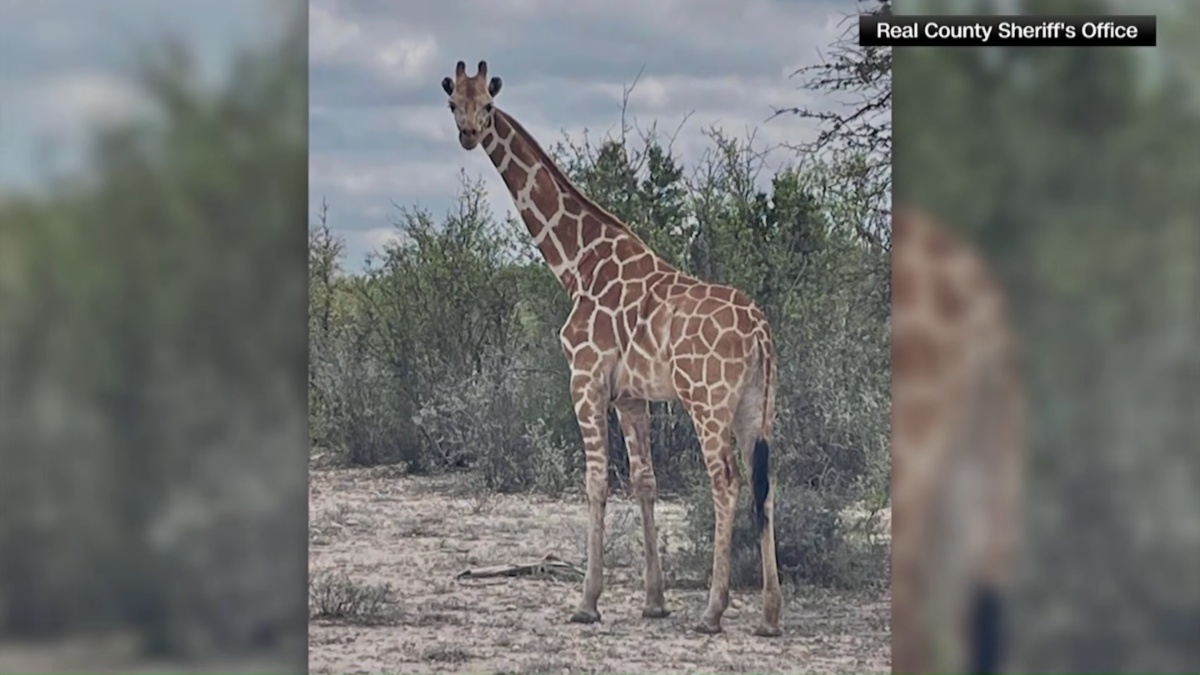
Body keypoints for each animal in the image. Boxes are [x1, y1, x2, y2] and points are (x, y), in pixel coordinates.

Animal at [441, 60, 783, 636]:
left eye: (487, 104)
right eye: (453, 103)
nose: (467, 134)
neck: (576, 263)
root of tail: (760, 330)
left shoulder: (585, 378)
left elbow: (596, 481)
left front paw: (587, 601)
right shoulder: (631, 394)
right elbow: (644, 481)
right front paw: (654, 600)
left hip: (708, 401)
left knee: (726, 482)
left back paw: (713, 611)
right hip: (756, 406)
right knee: (766, 484)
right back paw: (770, 615)